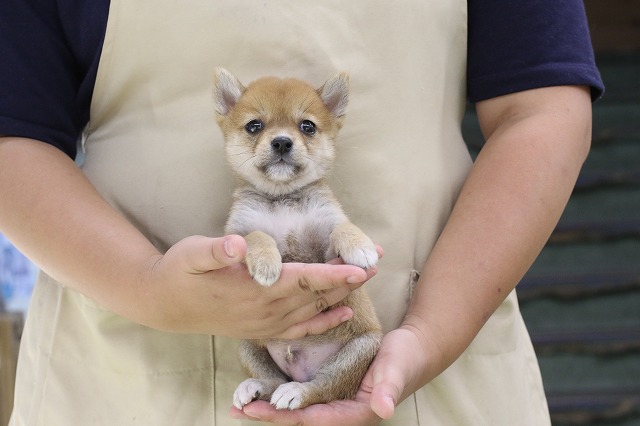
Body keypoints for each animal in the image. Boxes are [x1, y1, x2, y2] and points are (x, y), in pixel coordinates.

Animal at [215, 68, 382, 412]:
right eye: (254, 126)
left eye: (307, 126)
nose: (281, 141)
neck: (283, 200)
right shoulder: (236, 235)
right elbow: (256, 234)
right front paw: (266, 262)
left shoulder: (326, 251)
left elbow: (340, 228)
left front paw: (360, 246)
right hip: (249, 346)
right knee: (273, 379)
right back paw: (255, 386)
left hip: (359, 350)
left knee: (323, 388)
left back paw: (296, 391)